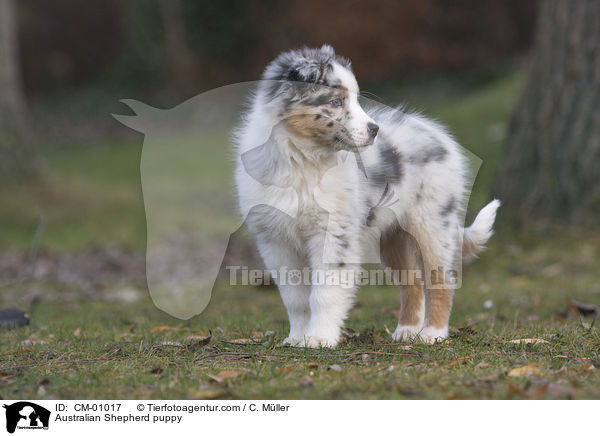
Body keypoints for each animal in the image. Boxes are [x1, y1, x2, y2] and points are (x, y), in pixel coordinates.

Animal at [232, 45, 500, 348]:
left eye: (356, 98)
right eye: (337, 101)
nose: (375, 130)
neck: (300, 158)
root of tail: (439, 135)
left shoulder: (333, 233)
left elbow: (325, 292)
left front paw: (320, 338)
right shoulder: (275, 240)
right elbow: (295, 296)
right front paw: (297, 338)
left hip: (433, 223)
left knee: (441, 280)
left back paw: (433, 334)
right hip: (394, 237)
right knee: (412, 283)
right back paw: (406, 331)